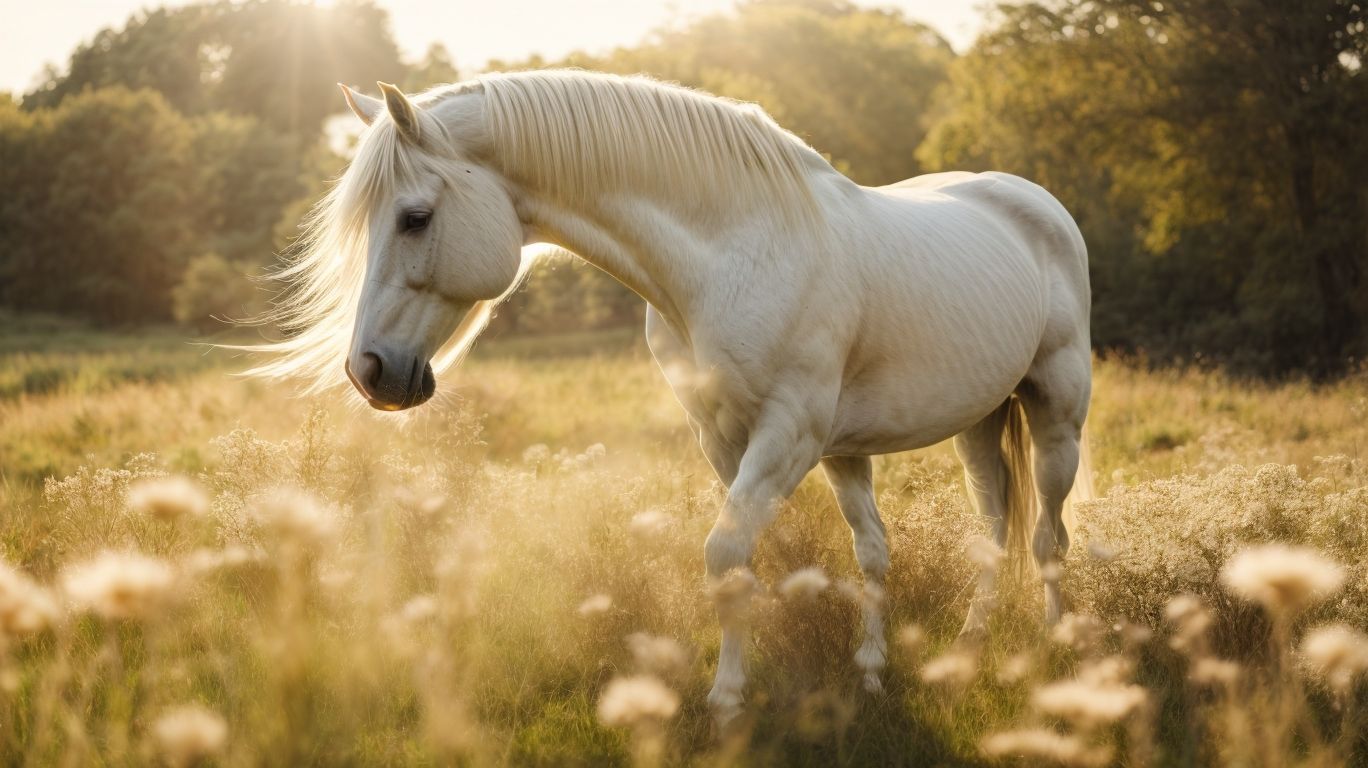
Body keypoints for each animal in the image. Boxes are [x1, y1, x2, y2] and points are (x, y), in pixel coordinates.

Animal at [250, 70, 1092, 725]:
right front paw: (855, 674)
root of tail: (1032, 201)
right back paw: (966, 651)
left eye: (415, 217)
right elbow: (782, 560)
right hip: (977, 422)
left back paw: (1058, 654)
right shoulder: (726, 437)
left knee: (1047, 537)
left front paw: (726, 701)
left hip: (1055, 414)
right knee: (987, 529)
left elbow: (725, 553)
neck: (737, 255)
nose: (370, 372)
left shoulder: (789, 436)